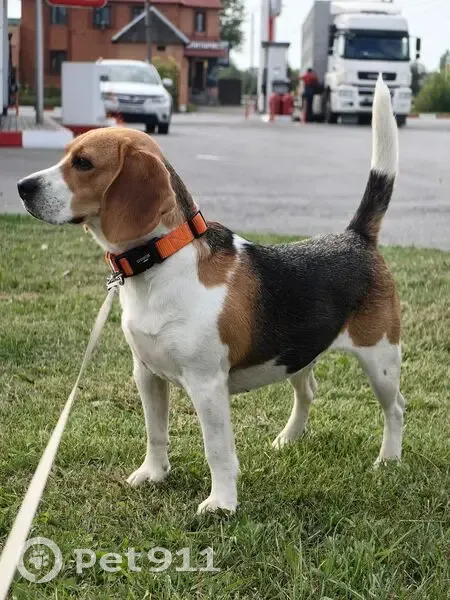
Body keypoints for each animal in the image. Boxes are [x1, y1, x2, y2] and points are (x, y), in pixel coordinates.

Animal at [17, 77, 405, 514]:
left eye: (83, 163)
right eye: (66, 154)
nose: (21, 188)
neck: (162, 260)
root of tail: (356, 237)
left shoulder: (207, 386)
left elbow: (216, 450)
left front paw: (221, 503)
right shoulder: (146, 374)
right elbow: (155, 432)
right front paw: (154, 474)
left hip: (381, 360)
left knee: (395, 409)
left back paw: (388, 459)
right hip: (297, 353)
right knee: (308, 392)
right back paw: (288, 439)